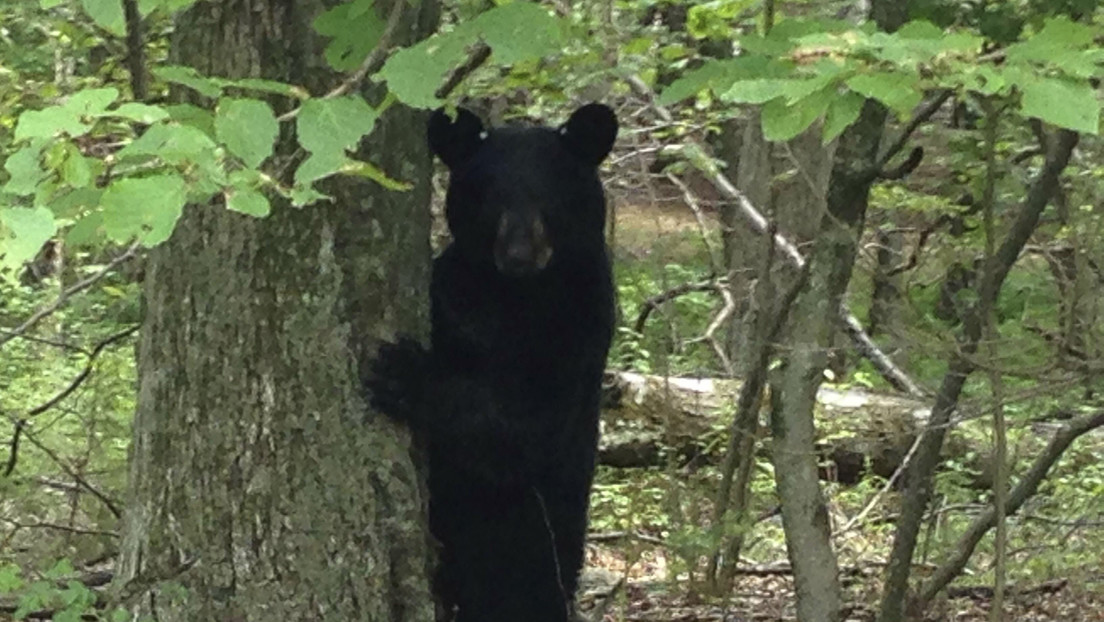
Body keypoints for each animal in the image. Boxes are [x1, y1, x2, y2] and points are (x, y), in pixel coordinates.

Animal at [366, 103, 618, 622]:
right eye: (490, 198)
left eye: (549, 196)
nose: (519, 253)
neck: (515, 295)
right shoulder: (456, 288)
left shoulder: (580, 323)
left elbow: (524, 425)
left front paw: (404, 373)